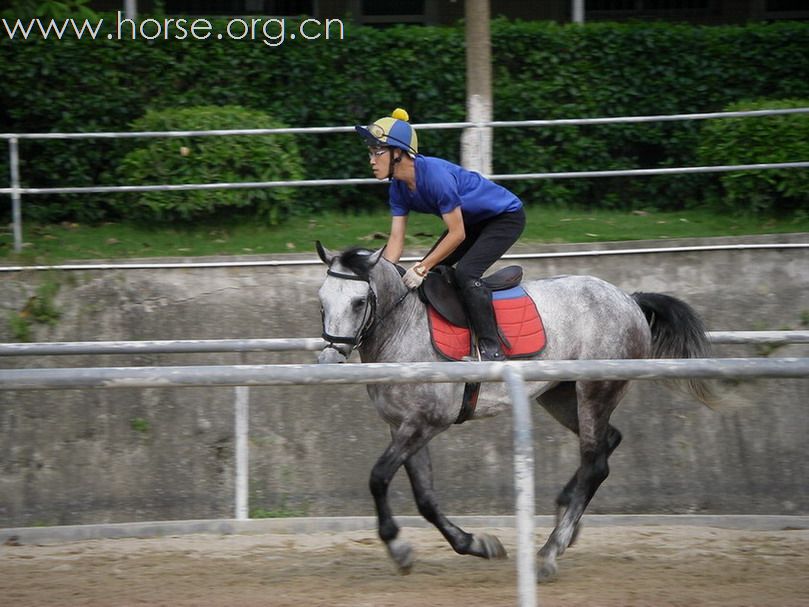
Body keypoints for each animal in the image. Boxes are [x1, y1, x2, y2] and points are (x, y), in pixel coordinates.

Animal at [316, 242, 712, 584]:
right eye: (321, 302)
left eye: (359, 301)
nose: (330, 357)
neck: (403, 328)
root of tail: (628, 299)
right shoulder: (404, 426)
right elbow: (425, 499)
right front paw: (475, 544)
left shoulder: (424, 423)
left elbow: (379, 478)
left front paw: (397, 546)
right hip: (561, 396)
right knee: (606, 443)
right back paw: (565, 517)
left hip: (595, 389)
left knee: (595, 462)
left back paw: (551, 550)